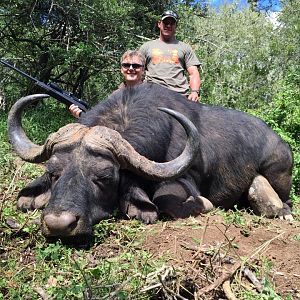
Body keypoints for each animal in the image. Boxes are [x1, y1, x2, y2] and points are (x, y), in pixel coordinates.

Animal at [7, 82, 292, 244]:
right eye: (54, 172)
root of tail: (281, 143)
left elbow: (166, 201)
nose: (59, 224)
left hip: (278, 174)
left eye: (104, 177)